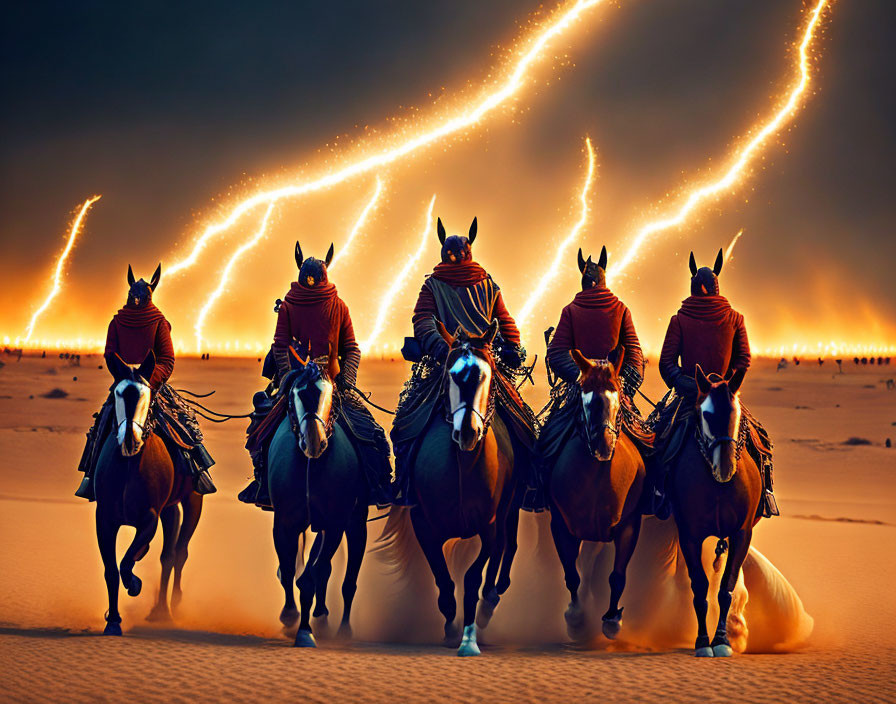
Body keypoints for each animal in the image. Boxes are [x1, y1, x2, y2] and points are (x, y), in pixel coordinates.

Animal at [96, 354, 205, 636]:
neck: (128, 466)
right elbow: (111, 570)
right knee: (169, 553)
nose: (130, 439)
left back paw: (167, 608)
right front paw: (113, 621)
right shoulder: (104, 520)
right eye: (117, 393)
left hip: (193, 502)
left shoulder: (149, 519)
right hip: (170, 510)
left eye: (147, 395)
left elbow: (127, 562)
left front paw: (134, 584)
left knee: (177, 553)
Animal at [266, 346, 368, 648]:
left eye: (331, 393)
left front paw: (307, 628)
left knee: (345, 578)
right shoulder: (284, 522)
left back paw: (339, 627)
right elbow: (289, 568)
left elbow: (317, 572)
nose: (314, 443)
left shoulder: (335, 524)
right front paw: (290, 617)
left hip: (355, 522)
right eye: (295, 394)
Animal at [376, 322, 520, 656]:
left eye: (487, 375)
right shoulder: (423, 526)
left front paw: (468, 638)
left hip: (510, 512)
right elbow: (444, 582)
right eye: (451, 375)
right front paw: (451, 627)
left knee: (505, 551)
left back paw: (488, 606)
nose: (467, 432)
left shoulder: (489, 527)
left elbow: (473, 577)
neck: (462, 470)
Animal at [544, 346, 644, 644]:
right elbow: (571, 574)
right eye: (585, 402)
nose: (603, 447)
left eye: (618, 401)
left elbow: (617, 575)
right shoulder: (561, 525)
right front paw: (576, 619)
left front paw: (612, 619)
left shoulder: (629, 525)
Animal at [668, 366, 760, 656]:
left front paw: (722, 640)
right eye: (705, 414)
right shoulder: (689, 535)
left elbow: (726, 588)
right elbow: (699, 587)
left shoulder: (742, 534)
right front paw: (701, 641)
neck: (718, 486)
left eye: (737, 414)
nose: (725, 467)